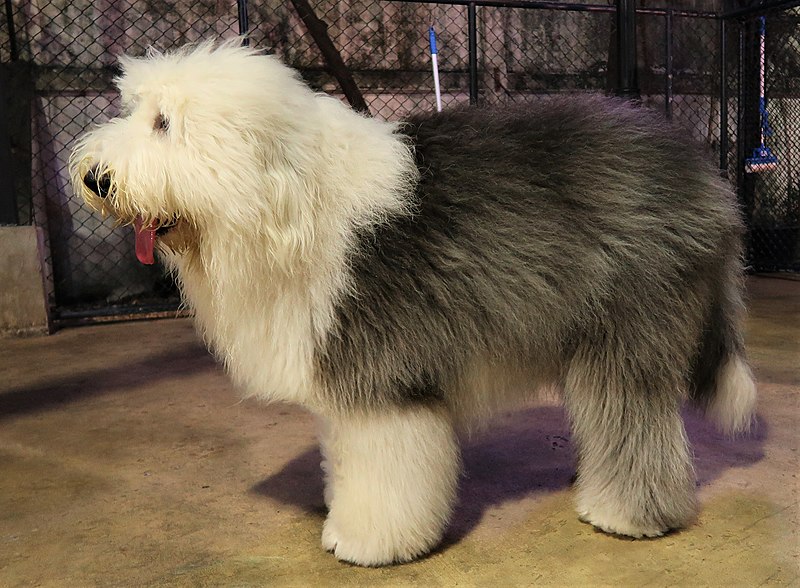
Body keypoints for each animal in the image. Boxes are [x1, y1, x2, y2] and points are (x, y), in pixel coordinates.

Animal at [69, 40, 756, 564]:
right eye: (138, 112)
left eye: (164, 124)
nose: (95, 179)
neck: (289, 203)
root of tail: (703, 172)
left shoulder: (382, 376)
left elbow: (386, 470)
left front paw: (367, 542)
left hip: (629, 325)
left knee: (636, 417)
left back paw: (627, 514)